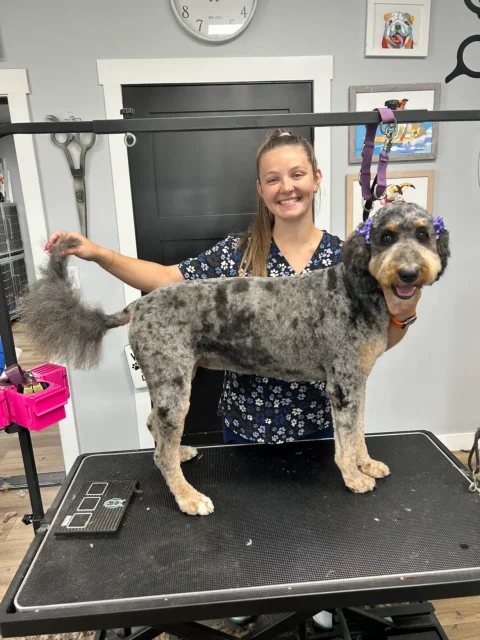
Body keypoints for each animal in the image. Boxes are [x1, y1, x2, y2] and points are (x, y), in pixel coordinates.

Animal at [19, 202, 450, 516]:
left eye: (423, 234)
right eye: (385, 236)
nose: (409, 272)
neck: (354, 288)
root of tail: (138, 305)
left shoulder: (357, 382)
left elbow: (358, 431)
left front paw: (366, 464)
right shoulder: (342, 383)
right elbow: (345, 437)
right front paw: (353, 476)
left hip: (175, 378)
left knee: (155, 427)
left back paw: (181, 453)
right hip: (174, 385)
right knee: (160, 451)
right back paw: (188, 496)